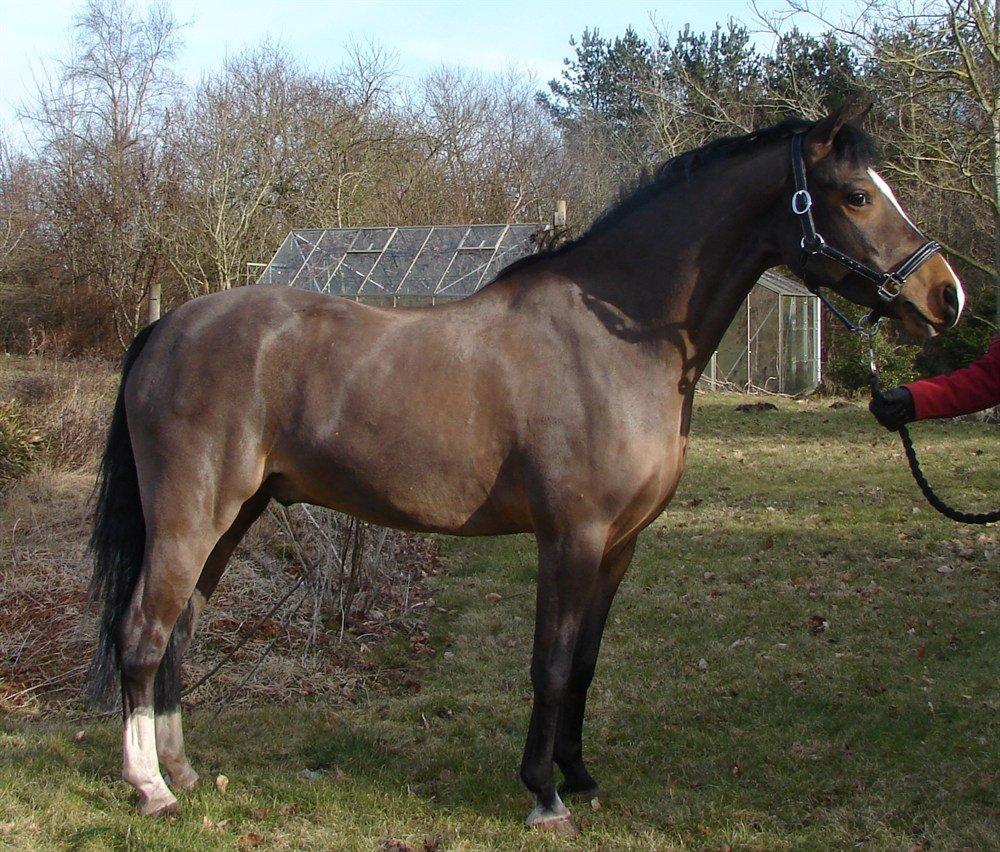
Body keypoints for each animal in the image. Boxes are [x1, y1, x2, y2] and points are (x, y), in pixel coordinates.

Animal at [88, 100, 963, 828]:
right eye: (855, 195)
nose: (945, 295)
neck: (617, 339)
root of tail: (167, 327)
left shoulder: (620, 545)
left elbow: (584, 666)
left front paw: (580, 776)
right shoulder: (571, 537)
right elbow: (550, 663)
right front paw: (544, 795)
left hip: (234, 518)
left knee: (181, 630)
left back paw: (183, 771)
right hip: (191, 517)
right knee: (144, 631)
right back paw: (151, 788)